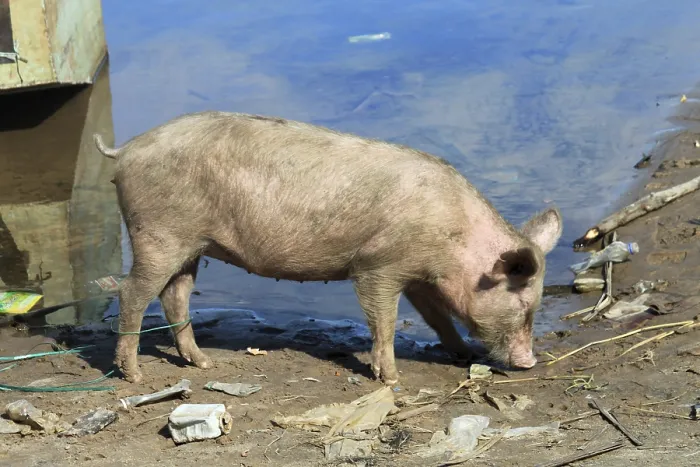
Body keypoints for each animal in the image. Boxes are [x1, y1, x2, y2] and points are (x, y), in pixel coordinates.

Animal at [93, 111, 563, 385]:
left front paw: (462, 353)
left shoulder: (417, 276)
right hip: (159, 233)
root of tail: (126, 149)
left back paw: (204, 363)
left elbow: (437, 316)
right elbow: (383, 321)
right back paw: (134, 376)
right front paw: (391, 379)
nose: (529, 362)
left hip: (191, 245)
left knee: (175, 296)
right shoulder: (377, 266)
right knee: (132, 292)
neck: (453, 238)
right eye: (524, 305)